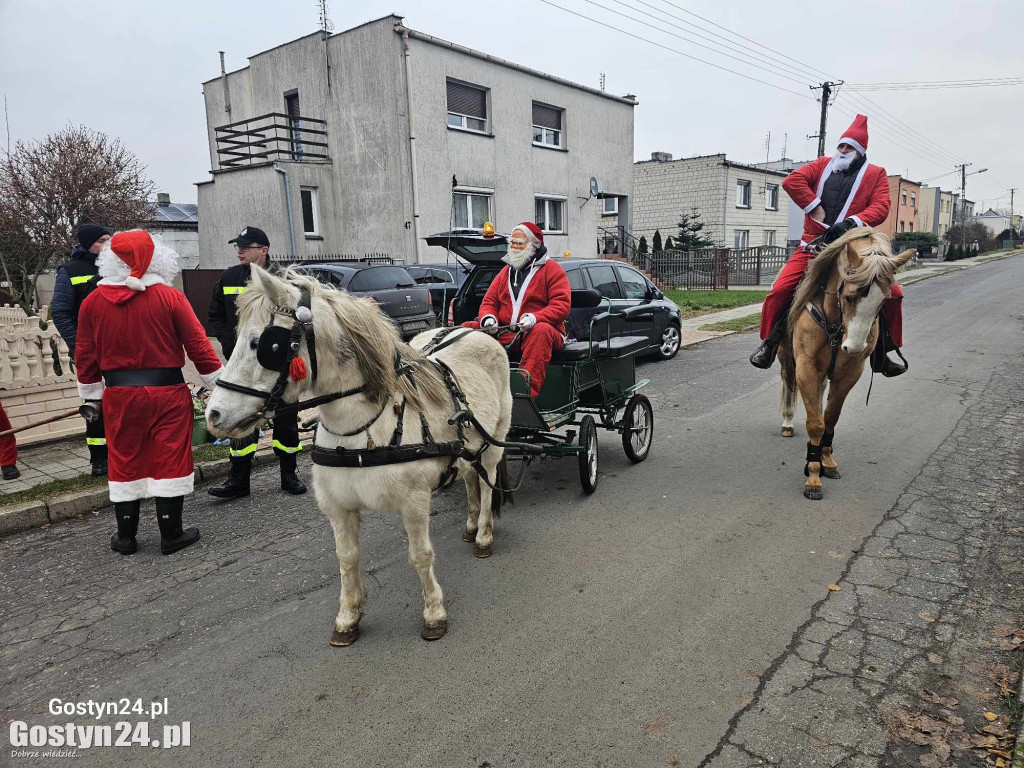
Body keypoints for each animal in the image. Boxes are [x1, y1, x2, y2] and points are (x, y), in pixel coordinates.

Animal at [203, 268, 512, 647]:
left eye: (264, 345)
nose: (214, 415)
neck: (361, 429)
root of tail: (474, 330)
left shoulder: (414, 501)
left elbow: (420, 555)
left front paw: (433, 612)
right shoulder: (338, 506)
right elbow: (347, 559)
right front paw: (348, 616)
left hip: (495, 438)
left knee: (488, 479)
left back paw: (483, 533)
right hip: (465, 445)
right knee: (470, 476)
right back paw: (470, 525)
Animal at [462, 221, 569, 397]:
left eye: (519, 242)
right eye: (512, 242)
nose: (513, 246)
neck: (526, 265)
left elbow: (559, 301)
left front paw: (527, 321)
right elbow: (490, 299)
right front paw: (490, 323)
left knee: (540, 334)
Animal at [774, 228, 913, 501]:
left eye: (884, 301)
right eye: (849, 297)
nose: (855, 347)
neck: (836, 324)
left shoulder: (849, 373)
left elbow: (830, 418)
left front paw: (825, 460)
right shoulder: (806, 367)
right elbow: (815, 423)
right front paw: (813, 476)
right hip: (787, 358)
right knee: (789, 383)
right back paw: (787, 422)